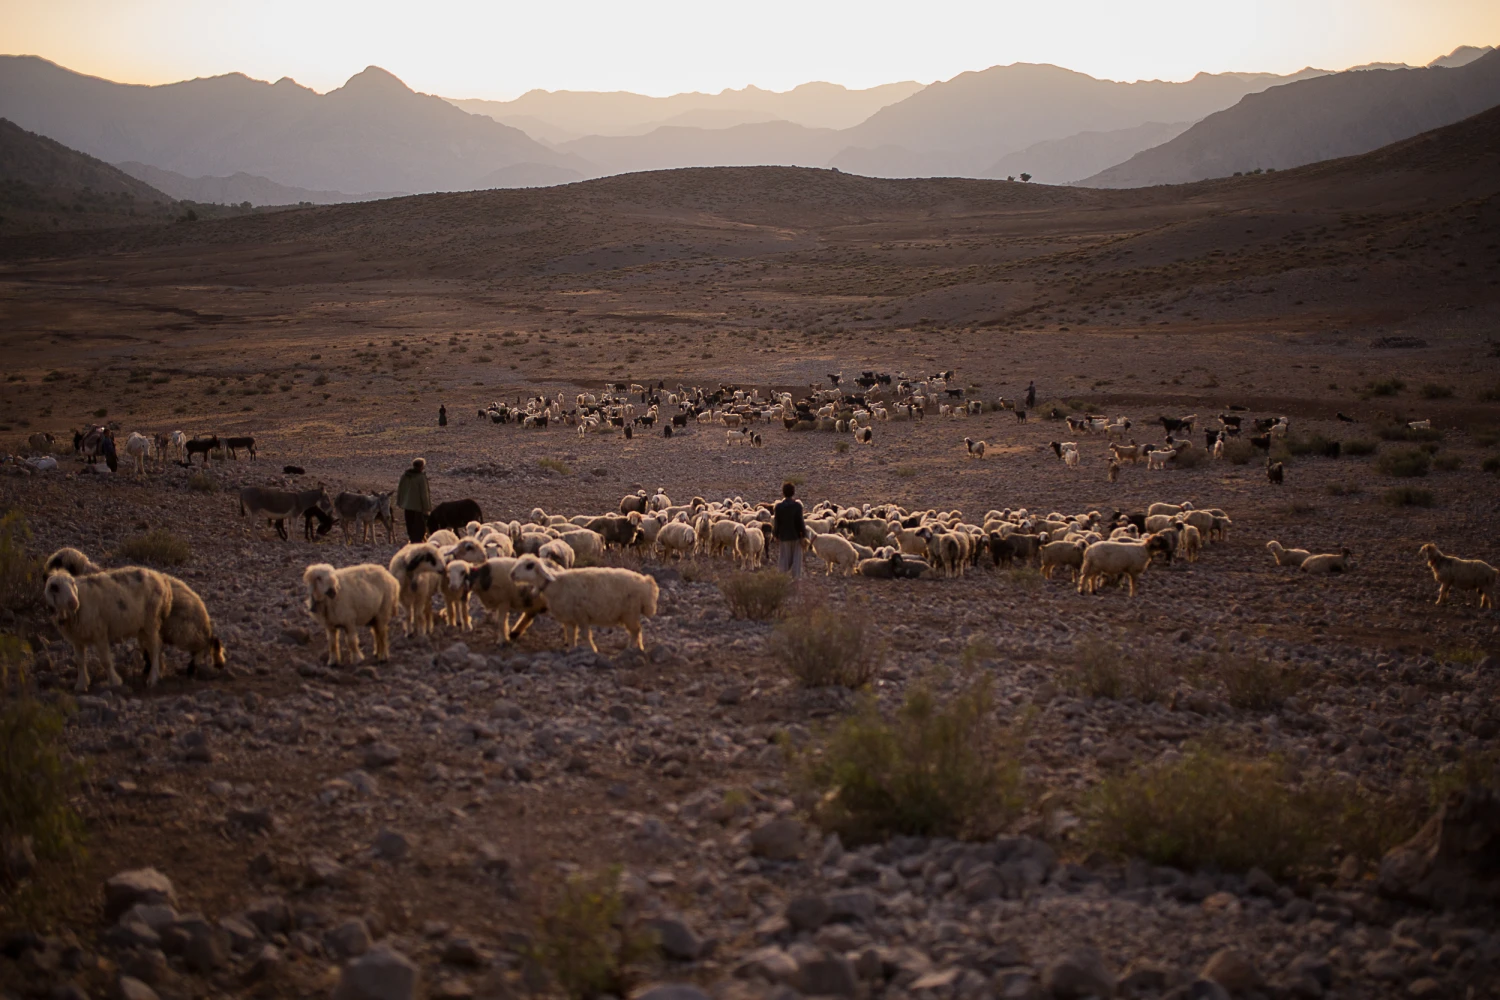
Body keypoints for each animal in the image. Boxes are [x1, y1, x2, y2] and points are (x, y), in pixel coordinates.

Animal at [510, 551, 657, 653]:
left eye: (529, 566)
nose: (512, 574)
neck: (556, 584)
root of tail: (646, 584)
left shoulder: (581, 615)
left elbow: (586, 635)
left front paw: (592, 650)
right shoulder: (569, 618)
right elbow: (570, 635)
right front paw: (571, 650)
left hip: (630, 612)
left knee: (636, 631)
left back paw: (632, 648)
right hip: (631, 613)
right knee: (636, 631)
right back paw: (638, 648)